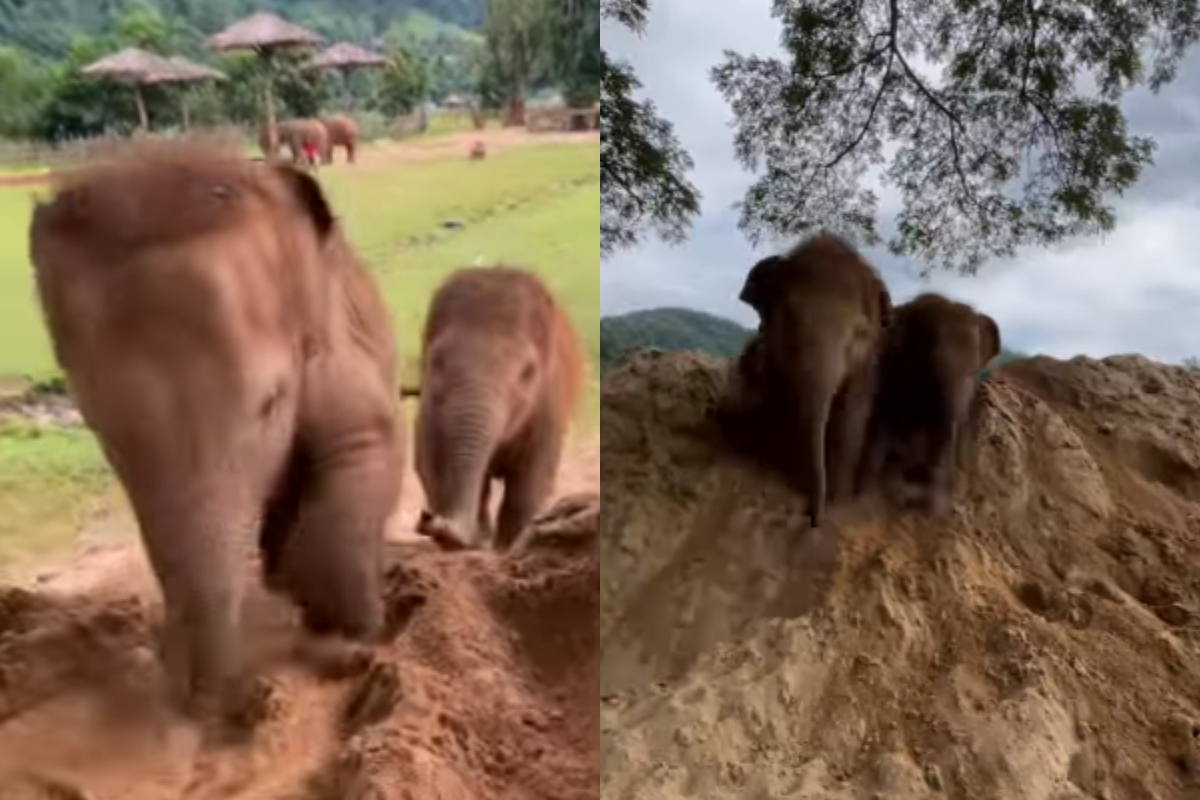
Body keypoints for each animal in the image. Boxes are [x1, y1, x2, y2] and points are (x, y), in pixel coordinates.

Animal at [28, 140, 404, 732]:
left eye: (269, 402)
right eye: (95, 423)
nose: (205, 703)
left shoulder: (340, 343)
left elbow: (365, 443)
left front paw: (347, 638)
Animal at [413, 266, 586, 552]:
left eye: (528, 372)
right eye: (436, 362)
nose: (427, 518)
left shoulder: (549, 403)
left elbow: (531, 479)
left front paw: (507, 546)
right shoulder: (428, 403)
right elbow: (428, 460)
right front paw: (472, 541)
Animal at [735, 231, 893, 529]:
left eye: (860, 334)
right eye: (789, 317)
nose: (813, 517)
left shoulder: (867, 369)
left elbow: (852, 418)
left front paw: (837, 499)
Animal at [861, 292, 1001, 514]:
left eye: (973, 372)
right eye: (931, 362)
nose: (934, 507)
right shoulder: (892, 368)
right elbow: (884, 416)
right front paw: (865, 493)